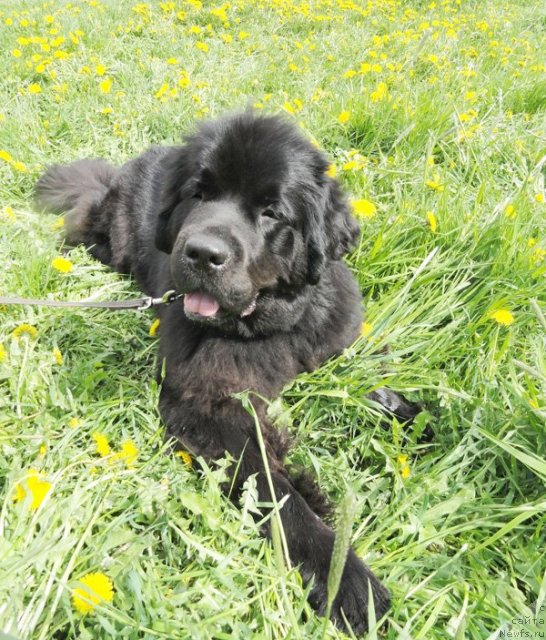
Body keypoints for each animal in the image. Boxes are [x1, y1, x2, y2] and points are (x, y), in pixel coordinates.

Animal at [36, 111, 414, 636]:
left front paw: (409, 411)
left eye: (271, 212)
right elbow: (273, 490)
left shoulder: (332, 337)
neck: (267, 327)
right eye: (198, 194)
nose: (201, 253)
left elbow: (369, 372)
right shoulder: (206, 405)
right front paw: (342, 576)